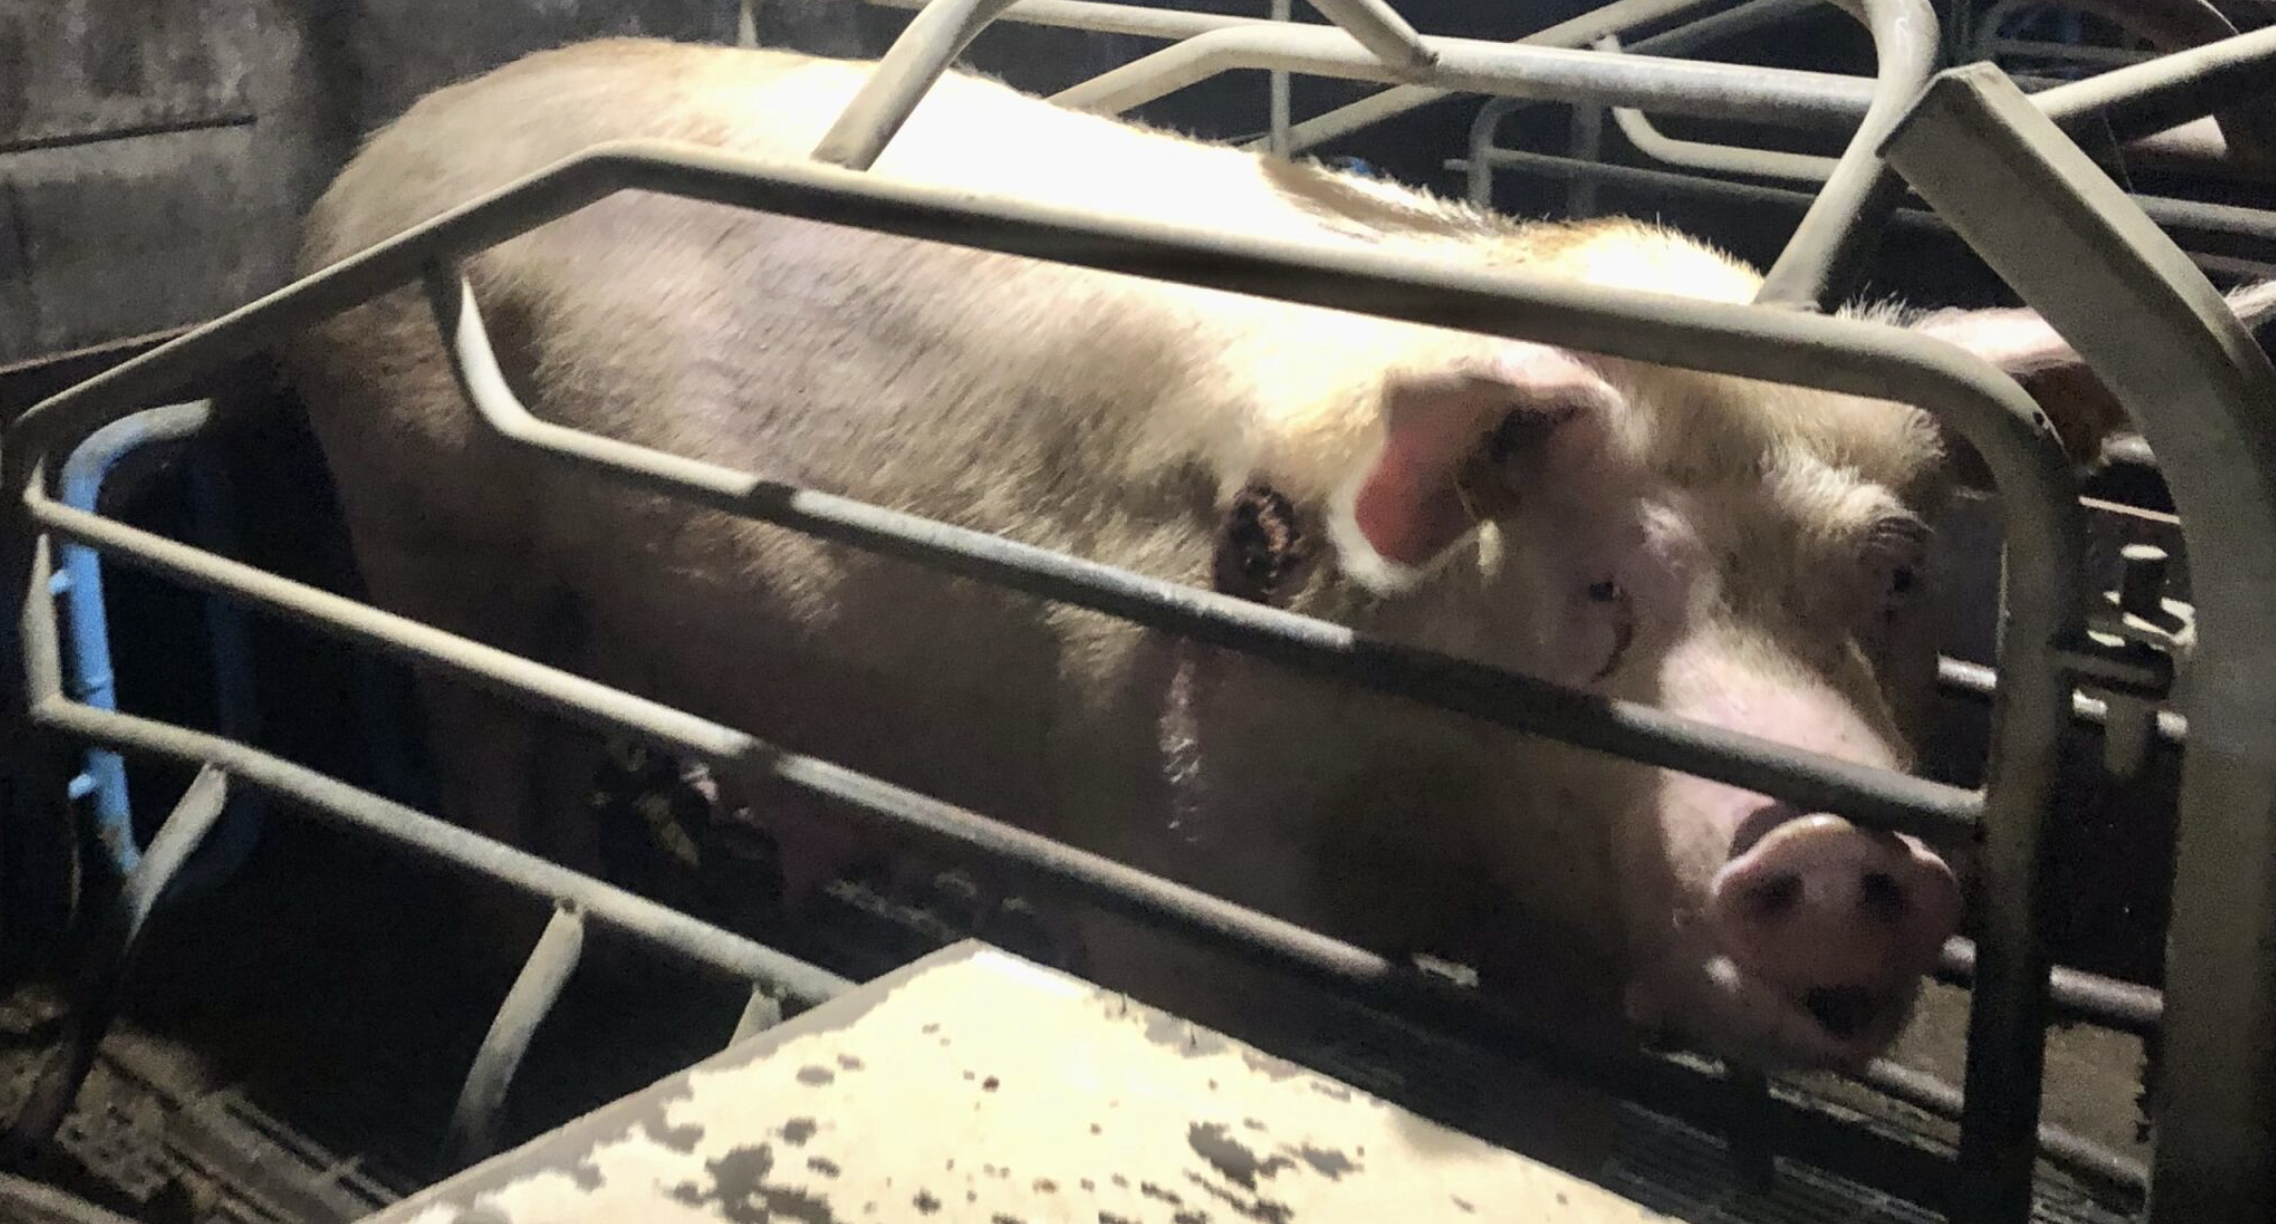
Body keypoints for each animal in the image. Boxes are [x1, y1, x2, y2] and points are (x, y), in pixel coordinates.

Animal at [282, 37, 2273, 1139]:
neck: (1447, 822)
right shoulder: (1180, 843)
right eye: (1603, 584)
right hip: (419, 508)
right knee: (486, 749)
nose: (1847, 847)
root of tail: (365, 170)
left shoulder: (1570, 936)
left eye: (1897, 571)